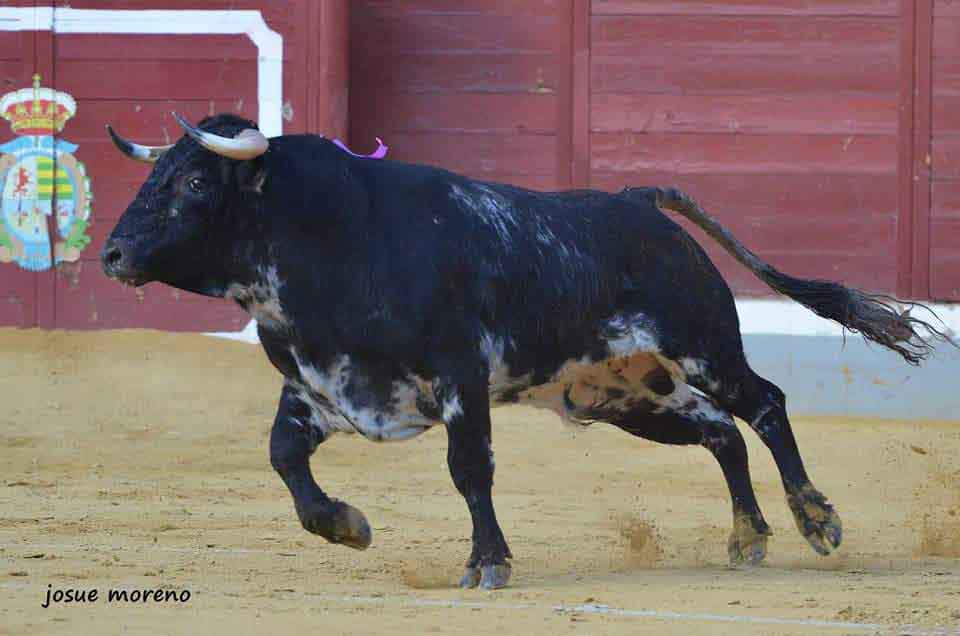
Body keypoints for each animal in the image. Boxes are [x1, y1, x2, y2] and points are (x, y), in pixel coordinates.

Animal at [103, 115, 944, 592]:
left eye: (193, 181)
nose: (110, 255)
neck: (328, 236)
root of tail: (636, 202)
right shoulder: (318, 387)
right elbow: (282, 455)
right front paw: (345, 525)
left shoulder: (459, 378)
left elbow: (468, 469)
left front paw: (489, 564)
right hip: (625, 393)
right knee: (719, 432)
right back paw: (747, 538)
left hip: (703, 347)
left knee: (763, 404)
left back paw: (815, 520)